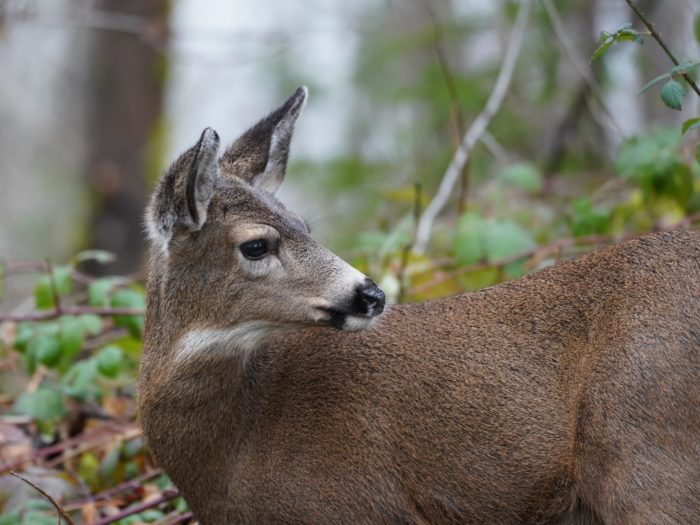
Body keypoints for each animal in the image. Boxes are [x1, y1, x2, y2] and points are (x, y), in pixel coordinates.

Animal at [139, 87, 700, 524]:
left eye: (304, 224)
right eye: (257, 245)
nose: (371, 293)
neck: (234, 451)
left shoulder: (354, 506)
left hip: (645, 448)